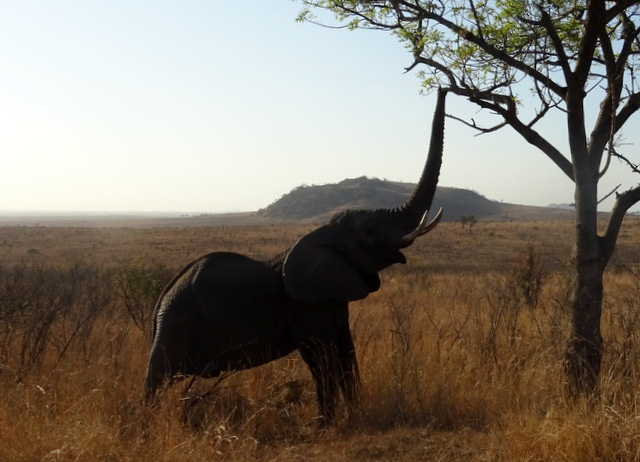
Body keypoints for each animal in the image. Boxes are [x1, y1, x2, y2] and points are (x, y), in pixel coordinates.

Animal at [144, 90, 447, 424]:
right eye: (369, 231)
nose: (443, 89)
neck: (321, 235)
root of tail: (161, 300)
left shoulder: (332, 295)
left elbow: (346, 351)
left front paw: (354, 417)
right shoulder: (304, 304)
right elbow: (320, 356)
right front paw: (326, 425)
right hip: (176, 323)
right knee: (157, 379)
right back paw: (148, 425)